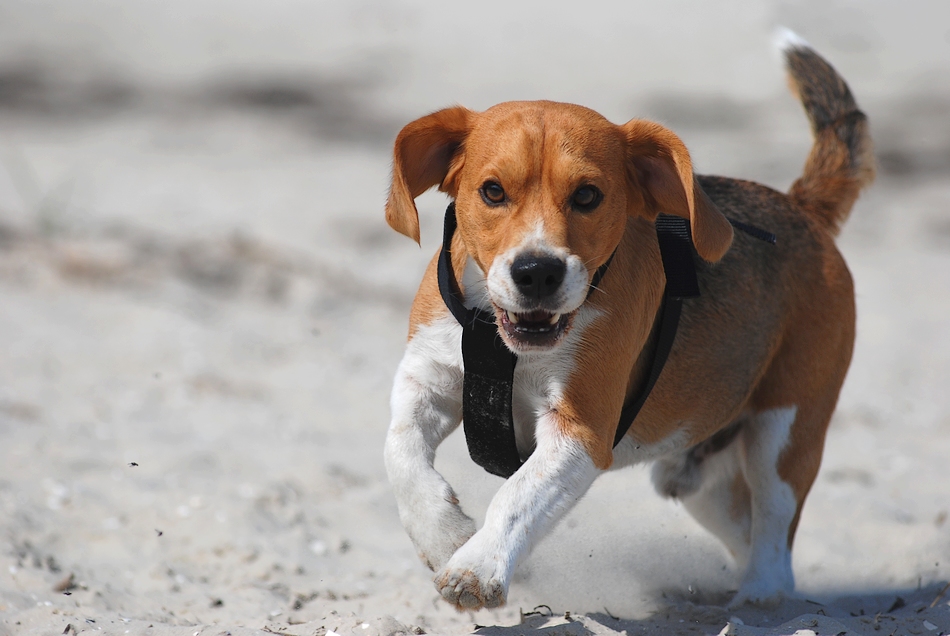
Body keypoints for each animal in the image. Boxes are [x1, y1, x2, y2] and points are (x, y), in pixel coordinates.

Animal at [384, 31, 872, 612]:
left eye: (587, 196)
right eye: (493, 191)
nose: (537, 272)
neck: (509, 346)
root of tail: (804, 209)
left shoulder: (581, 432)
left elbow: (516, 496)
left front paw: (476, 565)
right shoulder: (426, 379)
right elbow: (401, 456)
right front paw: (445, 537)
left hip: (785, 433)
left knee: (775, 541)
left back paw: (754, 601)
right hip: (699, 480)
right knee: (744, 527)